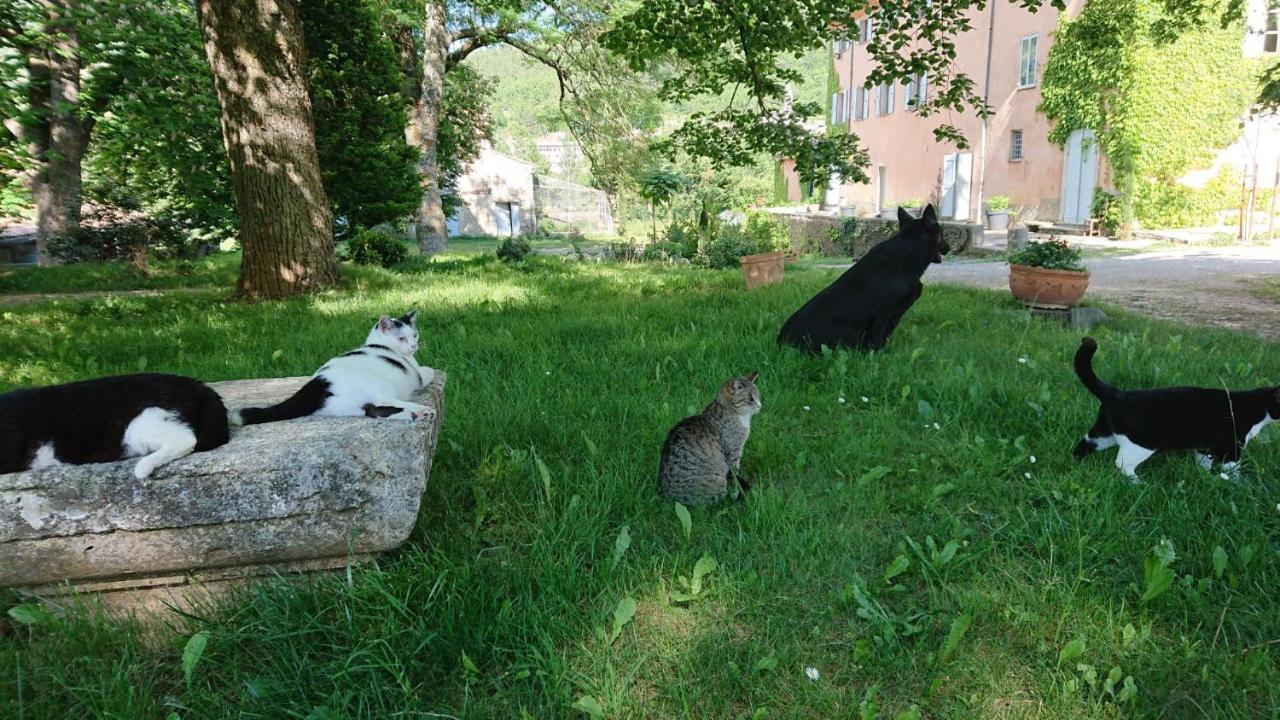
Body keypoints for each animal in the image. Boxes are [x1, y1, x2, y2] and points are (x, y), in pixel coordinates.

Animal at [238, 307, 437, 420]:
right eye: (402, 338)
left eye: (414, 335)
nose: (413, 346)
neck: (379, 343)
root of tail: (318, 382)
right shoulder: (419, 374)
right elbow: (429, 370)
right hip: (378, 385)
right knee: (383, 400)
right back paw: (422, 410)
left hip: (346, 405)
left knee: (373, 411)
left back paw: (416, 414)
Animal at [773, 203, 947, 351]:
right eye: (942, 235)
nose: (949, 247)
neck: (908, 252)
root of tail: (781, 342)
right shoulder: (883, 314)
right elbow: (877, 340)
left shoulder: (894, 315)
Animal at [1075, 335, 1274, 479]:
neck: (1257, 405)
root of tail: (1116, 393)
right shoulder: (1232, 445)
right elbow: (1232, 468)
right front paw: (1237, 484)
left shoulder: (1204, 446)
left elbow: (1203, 462)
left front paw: (1204, 477)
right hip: (1141, 443)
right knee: (1123, 463)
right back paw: (1138, 483)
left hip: (1104, 434)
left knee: (1085, 443)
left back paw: (1077, 463)